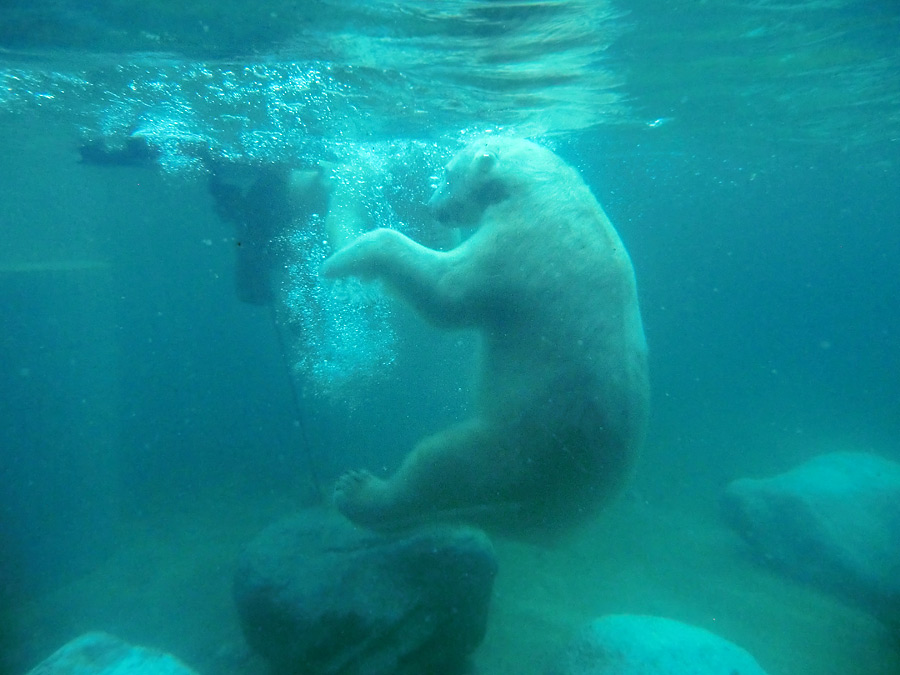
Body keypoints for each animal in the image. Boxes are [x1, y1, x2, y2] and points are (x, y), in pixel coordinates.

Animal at [322, 136, 648, 528]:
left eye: (446, 174)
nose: (431, 207)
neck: (542, 186)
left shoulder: (520, 243)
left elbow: (447, 292)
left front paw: (340, 261)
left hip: (526, 441)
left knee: (440, 466)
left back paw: (358, 490)